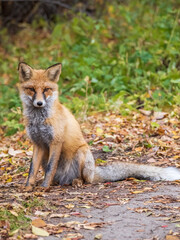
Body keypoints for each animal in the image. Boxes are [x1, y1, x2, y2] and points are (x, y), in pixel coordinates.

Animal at [17, 62, 180, 188]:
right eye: (31, 89)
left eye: (46, 90)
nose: (39, 103)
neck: (39, 120)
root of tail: (94, 172)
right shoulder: (38, 143)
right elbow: (32, 170)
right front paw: (28, 187)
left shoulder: (56, 141)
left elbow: (50, 169)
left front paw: (44, 188)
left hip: (81, 153)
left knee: (85, 180)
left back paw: (76, 182)